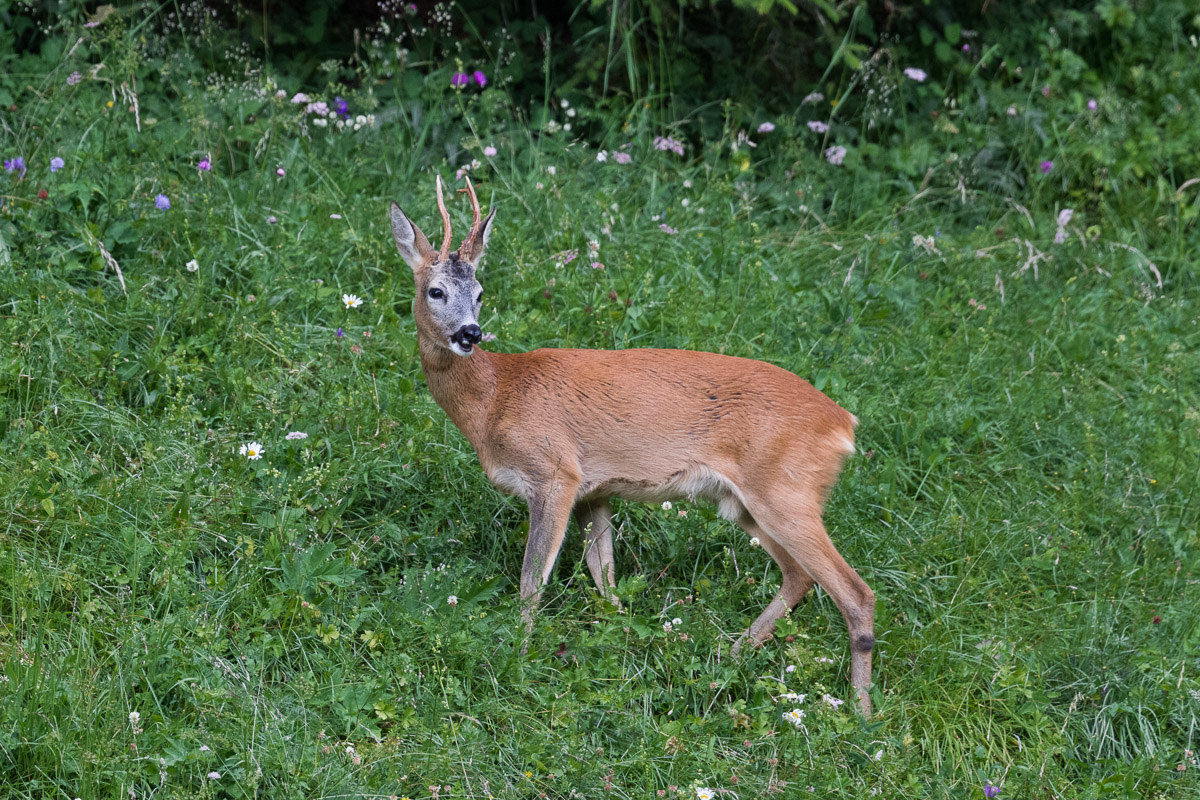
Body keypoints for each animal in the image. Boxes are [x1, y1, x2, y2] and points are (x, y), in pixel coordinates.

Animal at [389, 176, 876, 716]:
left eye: (479, 292)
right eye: (436, 290)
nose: (471, 332)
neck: (495, 398)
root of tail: (843, 424)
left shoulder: (555, 474)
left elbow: (531, 582)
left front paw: (515, 655)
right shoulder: (595, 490)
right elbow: (606, 582)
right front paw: (623, 642)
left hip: (786, 490)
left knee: (856, 592)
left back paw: (860, 711)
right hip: (746, 502)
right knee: (798, 575)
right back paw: (729, 656)